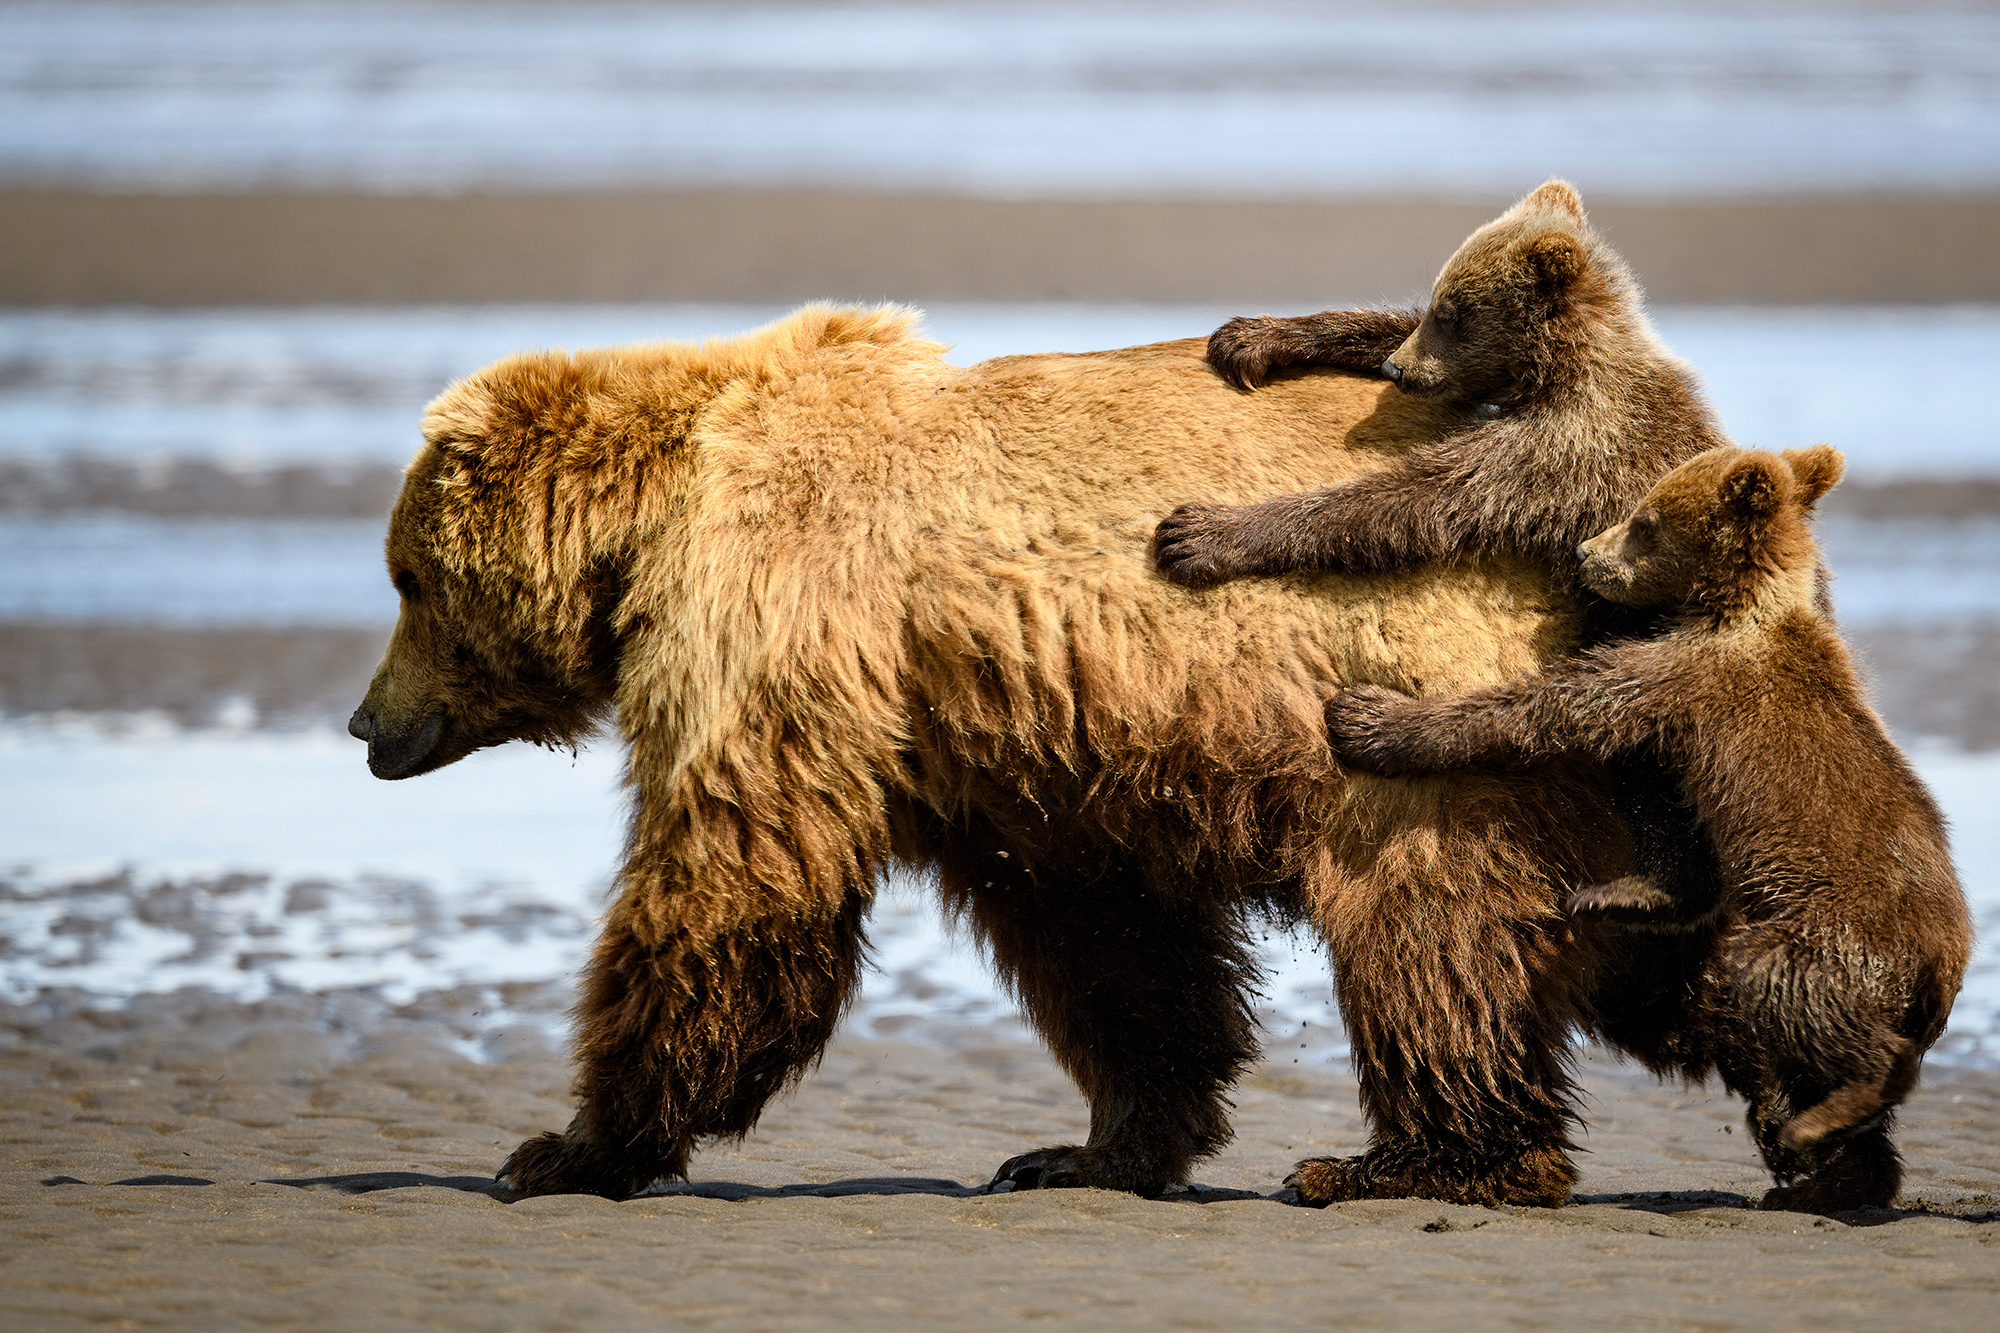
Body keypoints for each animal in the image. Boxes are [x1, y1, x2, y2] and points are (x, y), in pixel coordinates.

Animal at [348, 300, 1640, 1200]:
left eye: (404, 577)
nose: (365, 724)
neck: (659, 512)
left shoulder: (778, 615)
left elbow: (733, 874)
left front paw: (568, 1145)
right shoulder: (1022, 753)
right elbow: (1112, 943)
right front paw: (1093, 1145)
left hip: (1417, 705)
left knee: (1425, 930)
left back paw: (1421, 1157)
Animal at [1328, 444, 1968, 1200]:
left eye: (1644, 522)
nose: (1585, 551)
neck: (1737, 606)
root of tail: (1945, 959)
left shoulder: (1681, 675)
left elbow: (1548, 710)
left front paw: (1369, 718)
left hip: (1829, 937)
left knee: (1784, 988)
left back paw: (1824, 1116)